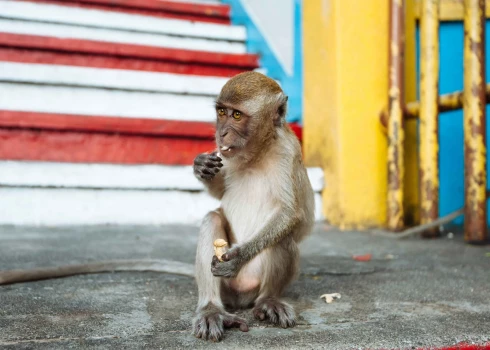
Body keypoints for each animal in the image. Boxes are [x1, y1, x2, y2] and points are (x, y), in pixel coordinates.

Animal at [191, 71, 314, 342]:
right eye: (222, 112)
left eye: (237, 115)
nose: (221, 134)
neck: (257, 153)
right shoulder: (224, 155)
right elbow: (219, 193)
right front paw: (201, 167)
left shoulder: (288, 152)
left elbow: (289, 213)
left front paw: (238, 257)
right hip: (226, 289)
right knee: (212, 218)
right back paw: (211, 310)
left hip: (253, 282)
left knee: (283, 237)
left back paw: (268, 302)